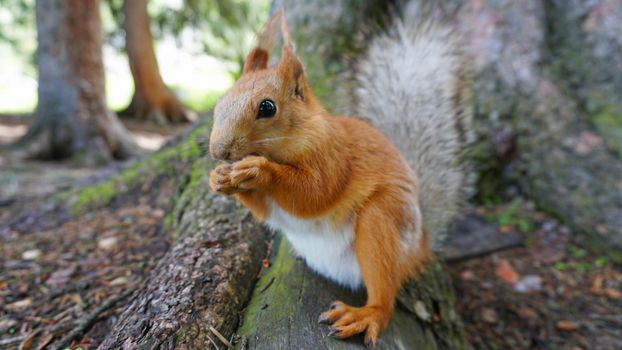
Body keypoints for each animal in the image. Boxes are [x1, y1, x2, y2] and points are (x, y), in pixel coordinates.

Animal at [208, 9, 472, 346]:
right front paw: (219, 178)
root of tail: (419, 246)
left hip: (383, 223)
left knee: (384, 296)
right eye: (219, 102)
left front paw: (258, 170)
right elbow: (265, 208)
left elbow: (314, 192)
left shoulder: (334, 157)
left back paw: (365, 315)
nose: (218, 151)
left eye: (267, 107)